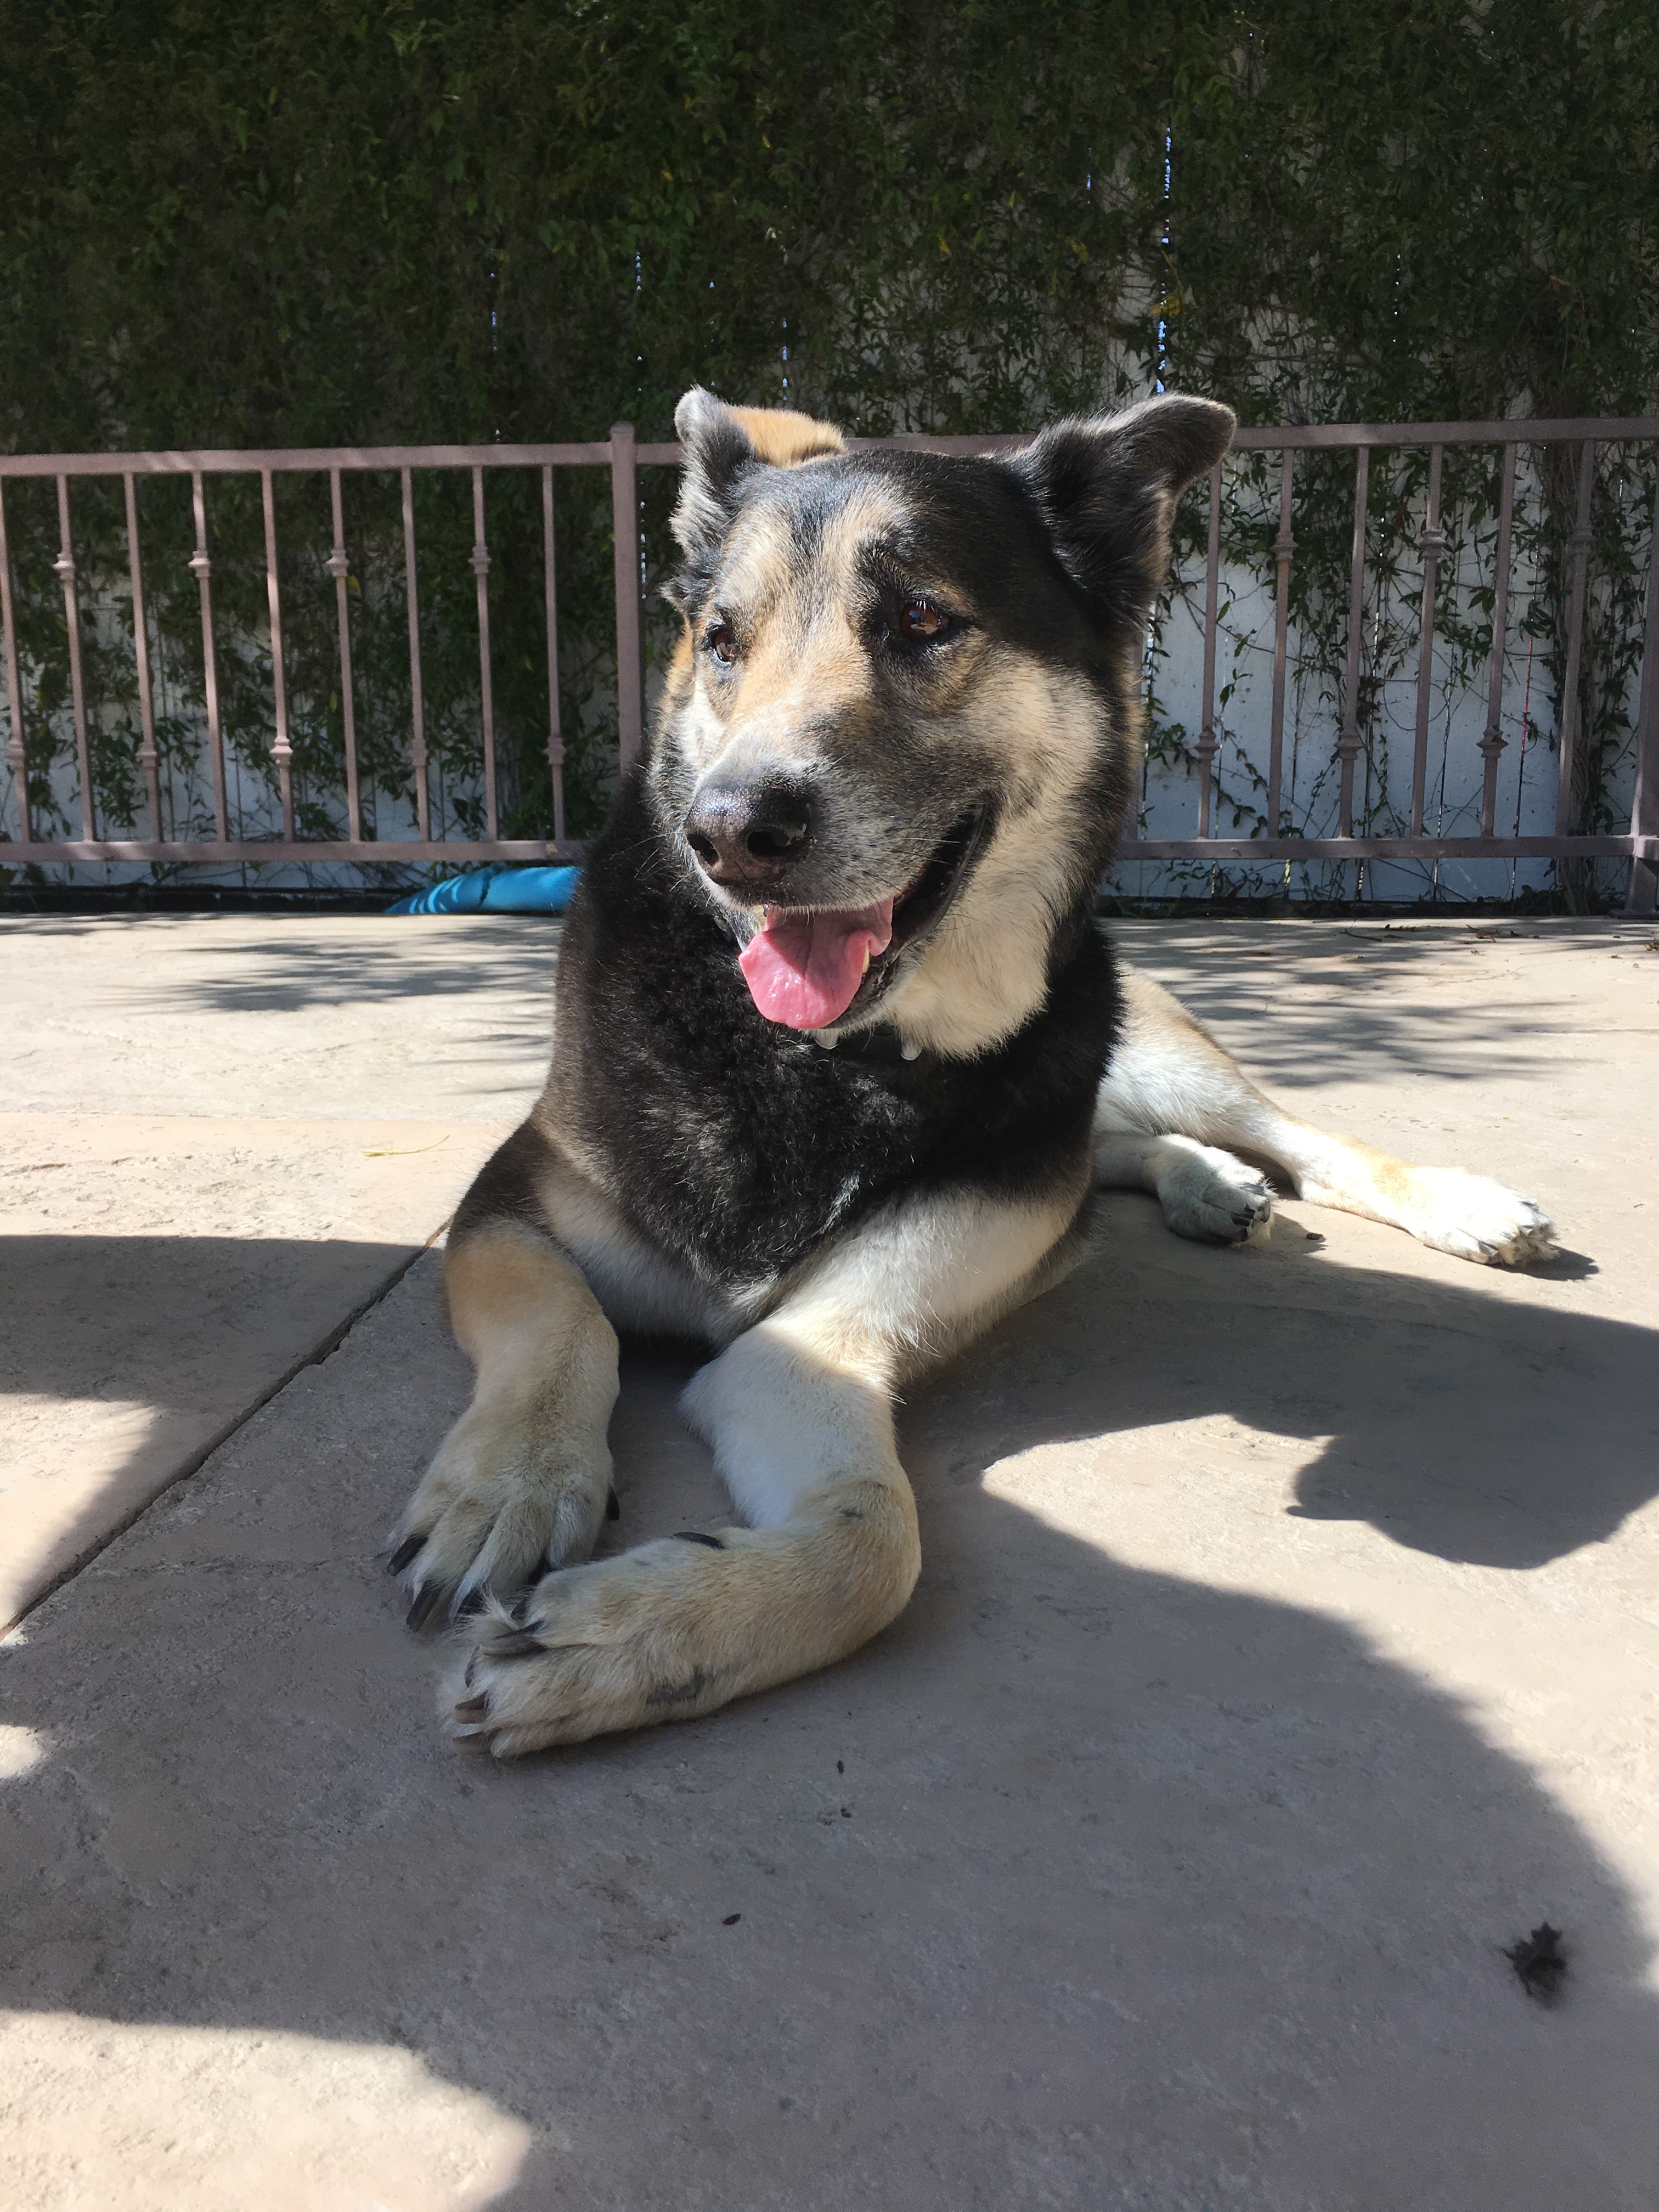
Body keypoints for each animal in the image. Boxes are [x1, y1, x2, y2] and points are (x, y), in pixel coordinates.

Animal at [389, 389, 1557, 1752]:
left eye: (920, 621)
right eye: (722, 641)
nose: (728, 833)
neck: (835, 1059)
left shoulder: (826, 1340)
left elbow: (873, 1543)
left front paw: (623, 1640)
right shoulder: (514, 1207)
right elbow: (563, 1322)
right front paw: (512, 1489)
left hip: (1151, 1043)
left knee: (1291, 1134)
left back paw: (1443, 1202)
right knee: (1120, 1147)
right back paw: (1206, 1186)